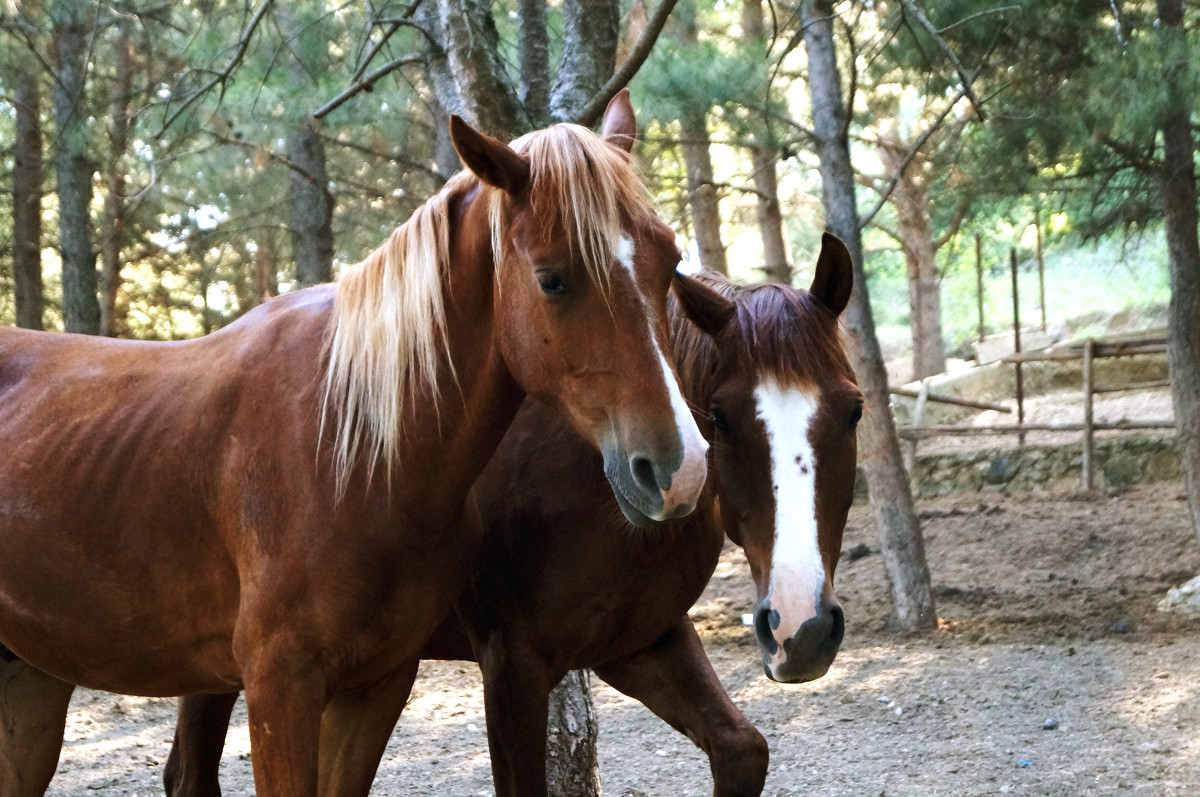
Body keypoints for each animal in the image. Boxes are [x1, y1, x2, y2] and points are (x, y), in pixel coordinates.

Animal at [0, 90, 720, 792]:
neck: (354, 454)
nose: (679, 468)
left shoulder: (376, 685)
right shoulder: (280, 688)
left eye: (670, 262)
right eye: (552, 278)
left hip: (32, 682)